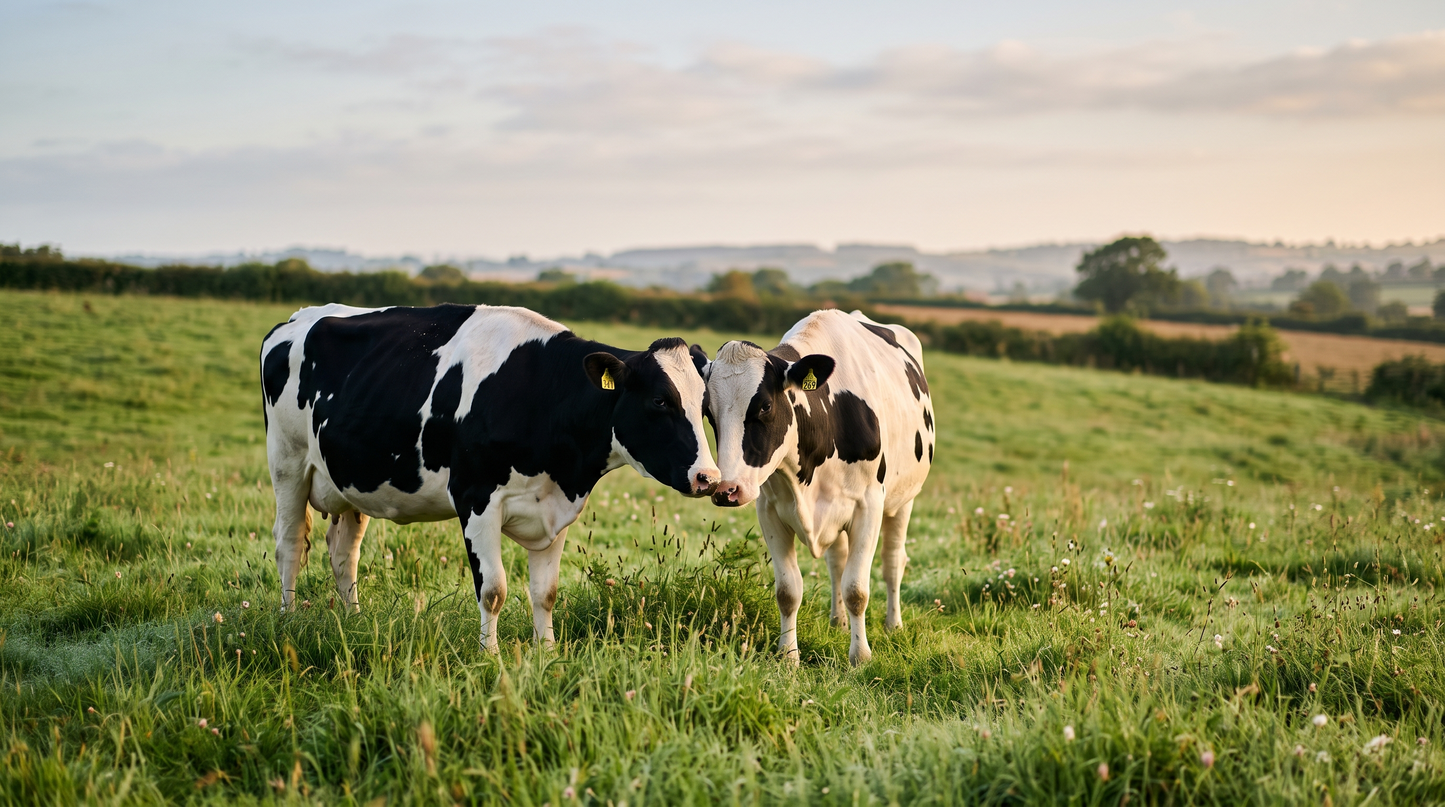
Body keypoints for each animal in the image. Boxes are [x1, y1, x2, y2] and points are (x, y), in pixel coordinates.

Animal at [260, 303, 719, 651]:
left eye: (704, 404)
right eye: (660, 400)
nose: (708, 477)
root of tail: (299, 317)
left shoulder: (556, 509)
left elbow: (546, 593)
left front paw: (547, 654)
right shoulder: (476, 498)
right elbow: (493, 590)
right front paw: (491, 657)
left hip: (353, 481)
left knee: (343, 553)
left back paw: (353, 620)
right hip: (287, 462)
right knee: (289, 543)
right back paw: (286, 619)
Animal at [704, 310, 933, 665]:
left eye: (765, 406)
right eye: (708, 413)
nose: (726, 490)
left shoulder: (869, 506)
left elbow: (857, 589)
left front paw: (860, 657)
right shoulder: (769, 511)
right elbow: (788, 591)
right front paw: (788, 656)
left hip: (903, 500)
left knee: (893, 562)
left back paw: (893, 625)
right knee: (837, 562)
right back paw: (838, 622)